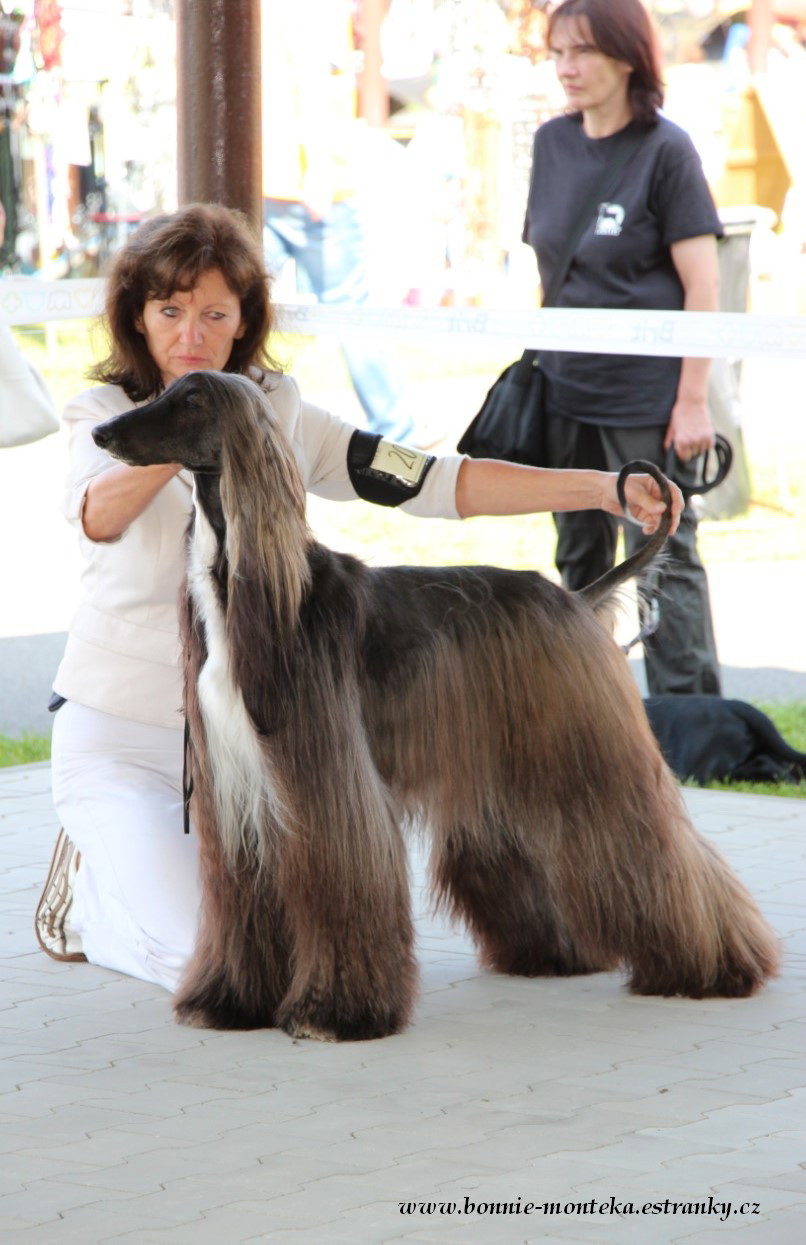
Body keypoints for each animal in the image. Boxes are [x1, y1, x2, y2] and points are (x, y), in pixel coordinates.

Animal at [91, 371, 777, 1040]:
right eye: (164, 391)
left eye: (191, 400)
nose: (102, 432)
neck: (250, 588)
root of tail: (576, 598)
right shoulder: (235, 790)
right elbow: (243, 895)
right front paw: (230, 1001)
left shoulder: (326, 780)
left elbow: (344, 878)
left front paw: (336, 1013)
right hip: (507, 764)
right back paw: (553, 955)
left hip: (587, 751)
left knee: (656, 843)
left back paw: (717, 967)